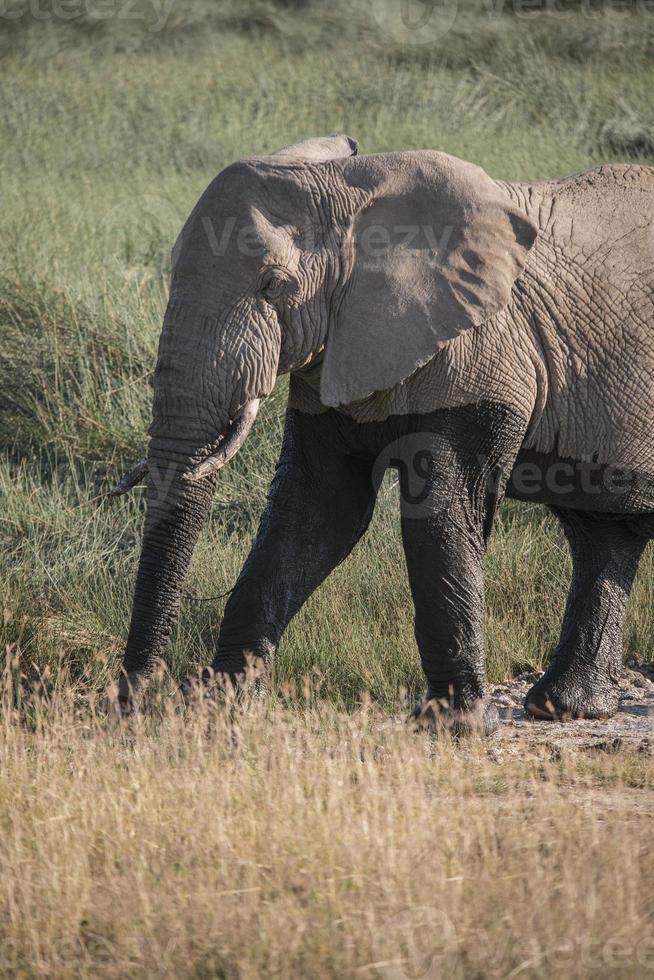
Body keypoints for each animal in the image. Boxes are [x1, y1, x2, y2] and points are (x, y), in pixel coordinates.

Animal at [113, 134, 654, 732]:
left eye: (273, 286)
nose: (133, 701)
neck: (352, 189)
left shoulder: (483, 349)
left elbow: (437, 518)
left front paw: (454, 725)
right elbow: (317, 512)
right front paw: (224, 705)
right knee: (603, 532)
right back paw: (563, 706)